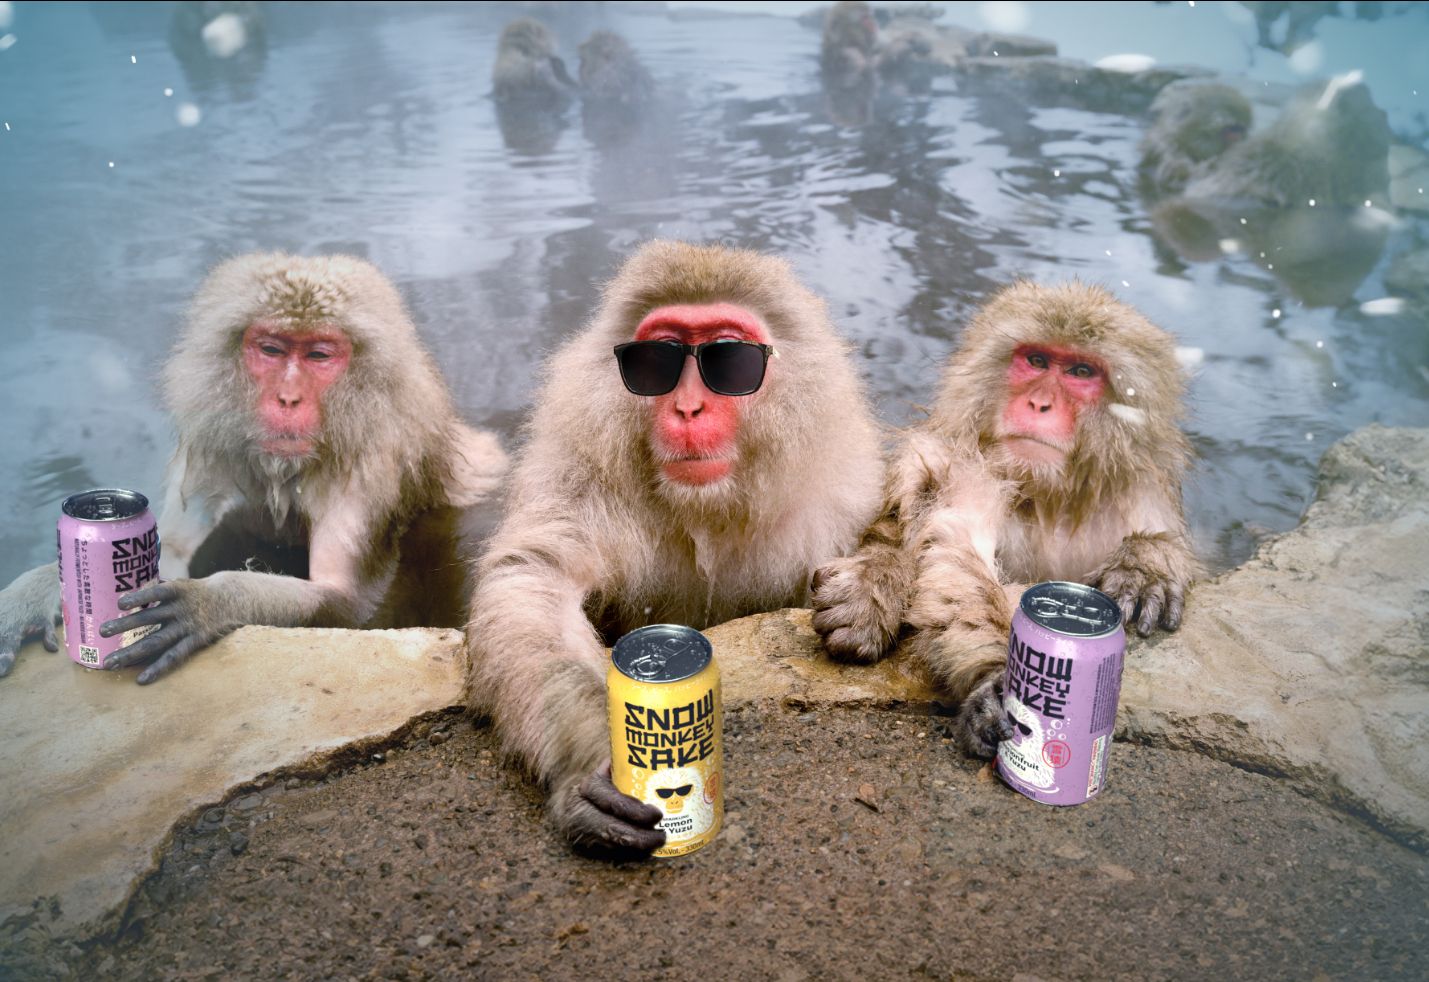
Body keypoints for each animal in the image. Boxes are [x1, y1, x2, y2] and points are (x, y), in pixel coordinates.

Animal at [0, 253, 508, 683]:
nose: (288, 398)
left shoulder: (372, 459)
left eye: (318, 355)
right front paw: (32, 593)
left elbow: (349, 605)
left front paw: (210, 602)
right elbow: (167, 551)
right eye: (272, 349)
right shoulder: (213, 440)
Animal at [465, 241, 880, 857]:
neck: (707, 512)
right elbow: (535, 580)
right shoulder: (581, 480)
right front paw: (597, 762)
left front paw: (872, 595)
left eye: (728, 360)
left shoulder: (841, 496)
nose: (687, 408)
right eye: (655, 361)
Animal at [811, 284, 1200, 760]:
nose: (1039, 403)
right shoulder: (967, 467)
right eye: (1036, 360)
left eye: (1081, 371)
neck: (1048, 498)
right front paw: (1001, 680)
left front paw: (1145, 566)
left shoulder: (1140, 490)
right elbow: (956, 554)